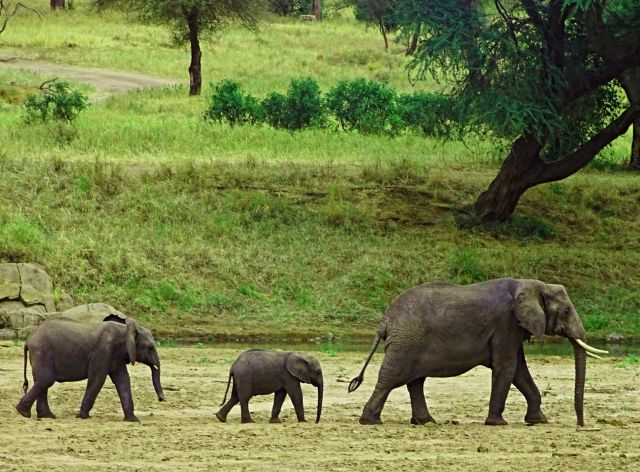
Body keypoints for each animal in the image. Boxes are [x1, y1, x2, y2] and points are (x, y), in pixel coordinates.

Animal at [17, 314, 164, 420]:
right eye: (150, 348)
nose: (161, 399)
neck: (126, 329)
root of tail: (28, 340)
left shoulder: (116, 356)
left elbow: (123, 380)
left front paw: (133, 420)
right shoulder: (104, 350)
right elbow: (97, 379)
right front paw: (83, 417)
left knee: (42, 381)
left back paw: (46, 416)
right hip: (42, 352)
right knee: (46, 380)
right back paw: (24, 413)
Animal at [348, 278, 608, 426]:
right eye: (566, 311)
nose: (581, 425)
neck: (534, 285)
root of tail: (385, 319)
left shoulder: (512, 327)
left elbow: (519, 370)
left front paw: (539, 421)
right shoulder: (507, 323)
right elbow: (507, 367)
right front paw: (497, 423)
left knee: (415, 381)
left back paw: (426, 422)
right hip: (406, 342)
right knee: (391, 378)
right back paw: (370, 421)